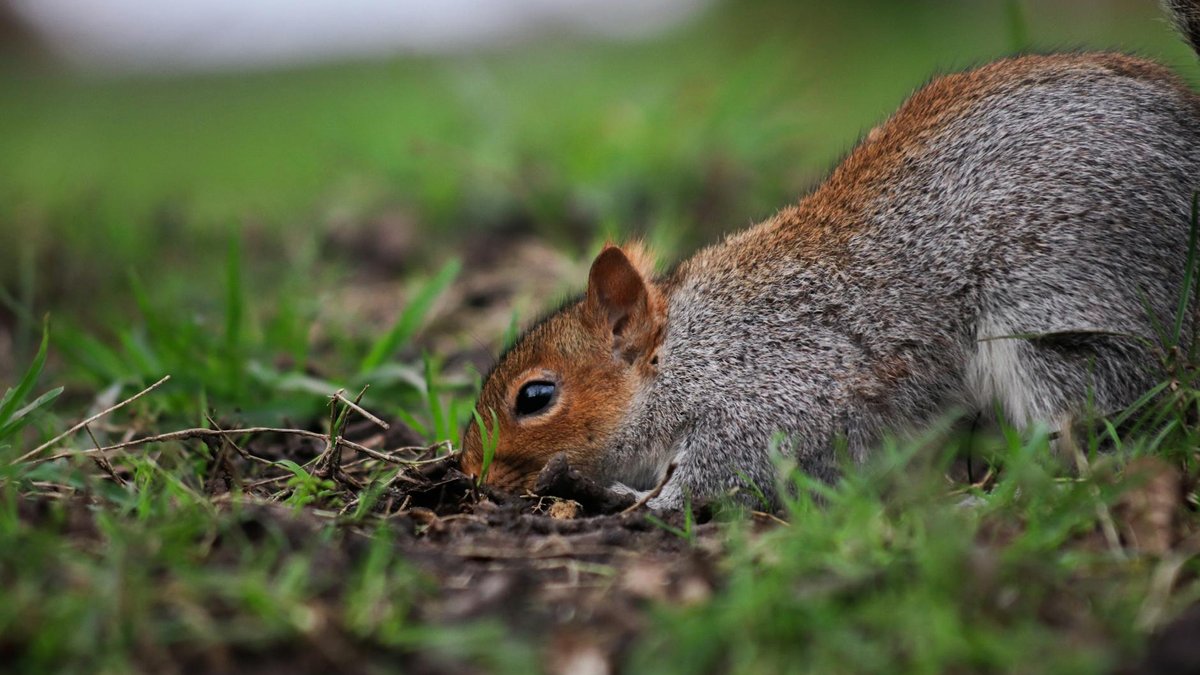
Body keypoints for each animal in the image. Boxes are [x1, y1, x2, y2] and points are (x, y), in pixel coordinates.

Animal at [461, 1, 1200, 510]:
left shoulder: (776, 388)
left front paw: (645, 500)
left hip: (1063, 320)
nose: (471, 470)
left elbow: (730, 466)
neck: (685, 352)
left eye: (535, 397)